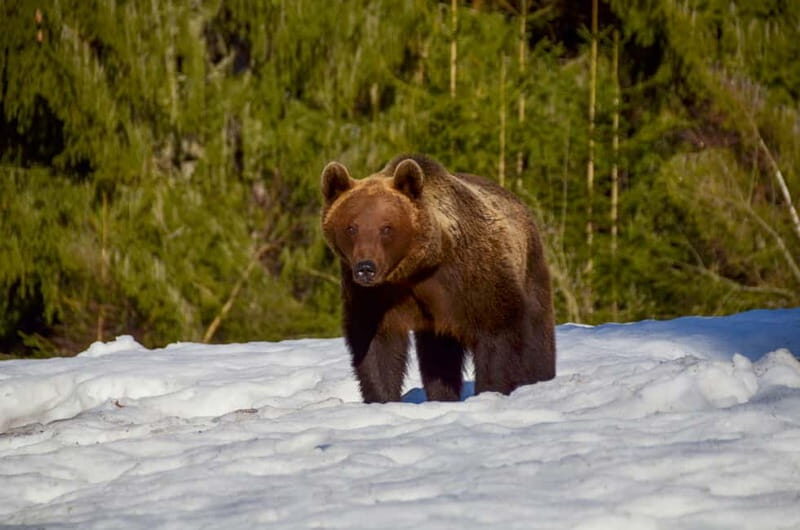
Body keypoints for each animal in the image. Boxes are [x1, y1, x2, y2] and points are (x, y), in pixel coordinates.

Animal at [320, 154, 555, 403]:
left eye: (386, 228)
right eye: (351, 227)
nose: (366, 268)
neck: (417, 268)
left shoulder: (473, 277)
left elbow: (496, 332)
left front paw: (491, 390)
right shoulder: (374, 294)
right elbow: (376, 343)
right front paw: (382, 398)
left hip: (530, 270)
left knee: (537, 334)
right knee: (438, 357)